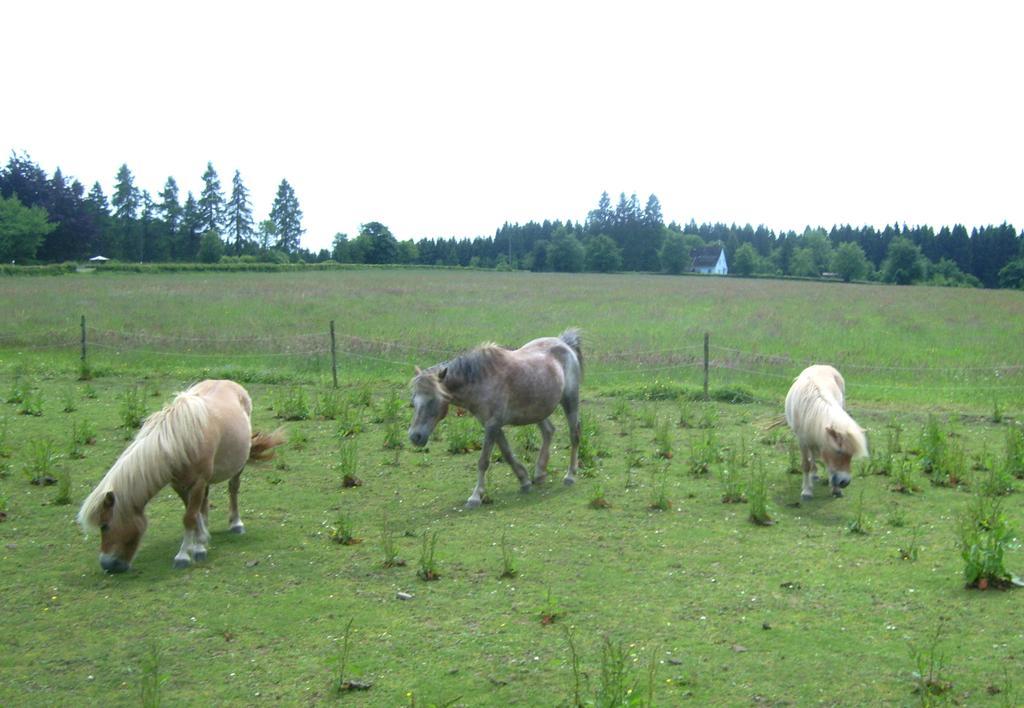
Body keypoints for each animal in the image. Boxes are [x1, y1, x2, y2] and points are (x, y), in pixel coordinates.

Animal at [75, 379, 284, 573]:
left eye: (104, 526)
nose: (108, 565)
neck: (177, 442)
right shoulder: (178, 484)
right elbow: (192, 513)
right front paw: (199, 542)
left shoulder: (198, 482)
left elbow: (189, 517)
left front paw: (186, 554)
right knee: (204, 503)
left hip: (237, 465)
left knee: (233, 489)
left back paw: (236, 524)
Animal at [407, 329, 585, 506]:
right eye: (414, 401)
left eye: (432, 400)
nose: (415, 436)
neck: (482, 381)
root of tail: (564, 343)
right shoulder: (492, 425)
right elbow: (507, 454)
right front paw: (524, 481)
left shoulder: (492, 425)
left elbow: (483, 461)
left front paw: (475, 497)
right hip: (538, 409)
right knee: (548, 431)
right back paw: (540, 473)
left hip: (569, 400)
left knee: (574, 435)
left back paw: (570, 476)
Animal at [786, 368, 868, 502]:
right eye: (839, 452)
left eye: (851, 454)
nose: (845, 482)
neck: (812, 411)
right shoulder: (803, 441)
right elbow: (806, 465)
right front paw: (807, 491)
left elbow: (831, 467)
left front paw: (836, 490)